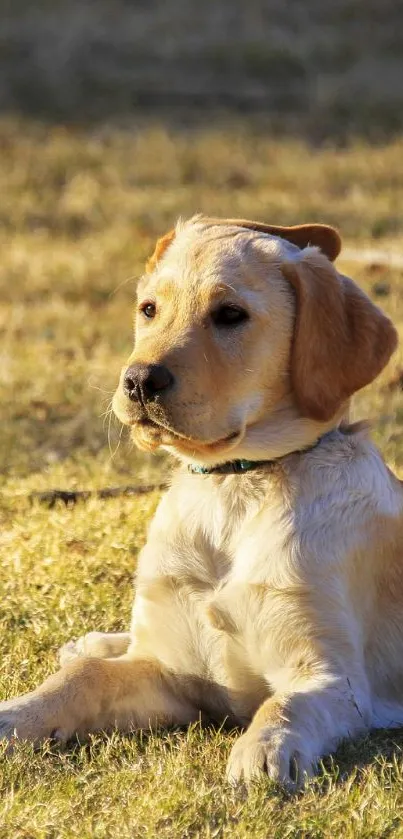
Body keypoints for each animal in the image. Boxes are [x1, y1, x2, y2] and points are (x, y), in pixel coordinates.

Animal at [1, 218, 402, 788]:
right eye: (149, 309)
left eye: (230, 315)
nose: (138, 381)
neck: (234, 487)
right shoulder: (172, 675)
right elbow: (84, 677)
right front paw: (18, 712)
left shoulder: (332, 677)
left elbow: (286, 705)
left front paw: (263, 750)